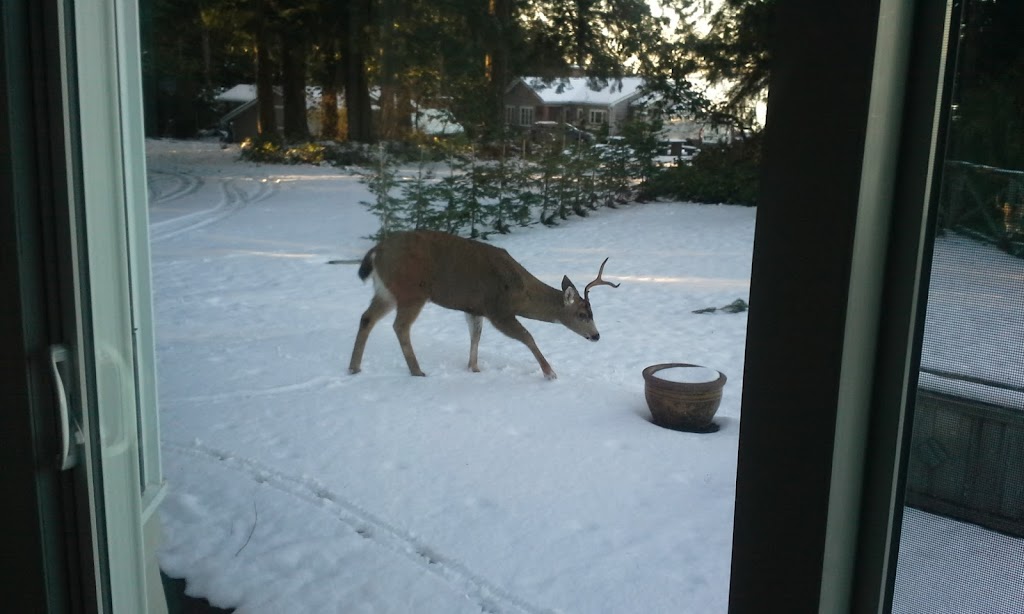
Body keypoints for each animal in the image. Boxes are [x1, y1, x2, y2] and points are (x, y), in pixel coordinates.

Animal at [344, 230, 618, 378]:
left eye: (592, 312)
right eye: (582, 314)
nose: (596, 336)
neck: (520, 293)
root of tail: (376, 251)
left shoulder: (475, 309)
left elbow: (475, 336)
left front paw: (474, 368)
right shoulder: (498, 309)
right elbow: (528, 337)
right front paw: (550, 373)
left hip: (386, 291)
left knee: (367, 317)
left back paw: (354, 368)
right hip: (411, 290)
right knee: (400, 326)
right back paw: (417, 371)